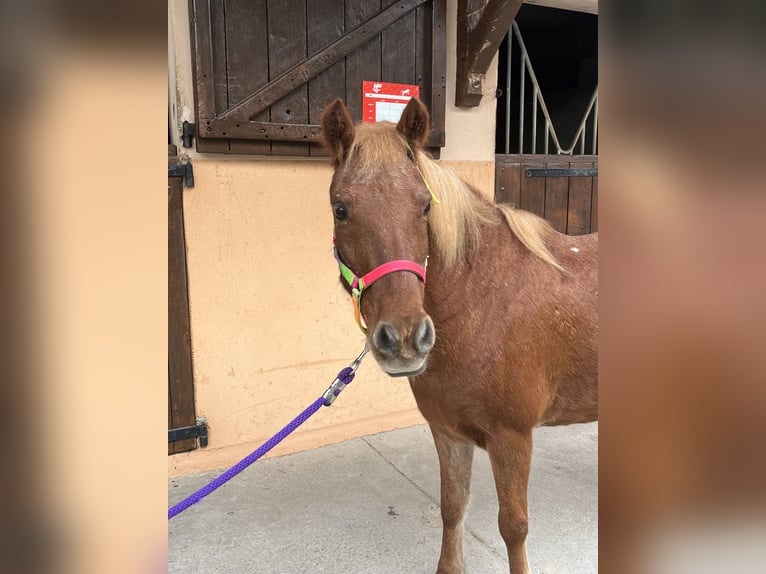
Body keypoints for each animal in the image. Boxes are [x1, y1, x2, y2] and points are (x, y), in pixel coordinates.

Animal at [320, 97, 596, 572]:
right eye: (341, 208)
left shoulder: (512, 437)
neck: (482, 300)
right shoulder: (447, 431)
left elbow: (514, 527)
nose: (405, 338)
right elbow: (453, 507)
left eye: (424, 207)